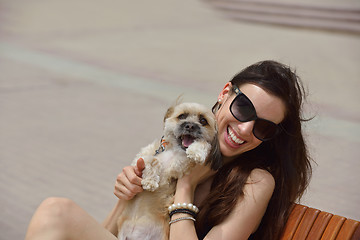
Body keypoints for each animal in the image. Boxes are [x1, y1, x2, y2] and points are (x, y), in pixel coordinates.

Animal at [117, 102, 222, 240]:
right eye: (182, 116)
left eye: (203, 121)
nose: (190, 126)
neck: (175, 151)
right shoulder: (141, 159)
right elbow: (152, 160)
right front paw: (150, 181)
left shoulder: (180, 166)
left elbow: (204, 144)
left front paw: (196, 151)